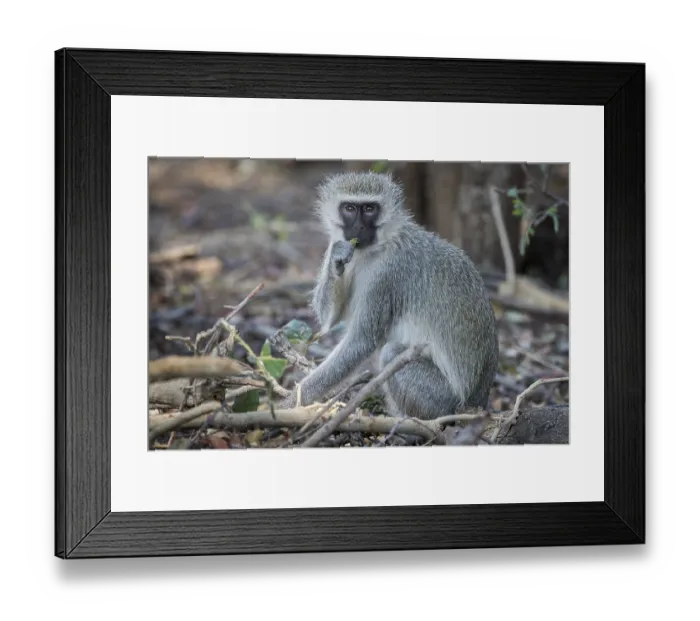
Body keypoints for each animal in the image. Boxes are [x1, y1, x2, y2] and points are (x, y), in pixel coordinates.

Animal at [279, 171, 499, 421]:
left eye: (369, 209)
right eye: (350, 208)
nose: (358, 228)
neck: (379, 246)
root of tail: (478, 401)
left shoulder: (388, 274)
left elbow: (361, 341)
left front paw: (287, 404)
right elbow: (330, 318)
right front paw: (337, 259)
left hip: (444, 398)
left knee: (391, 352)